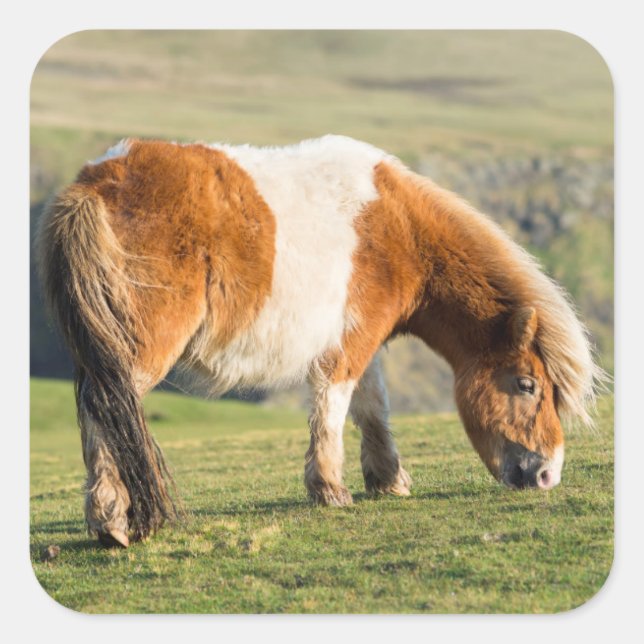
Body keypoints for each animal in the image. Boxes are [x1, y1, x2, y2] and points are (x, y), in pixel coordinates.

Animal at [36, 134, 602, 548]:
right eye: (528, 385)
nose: (547, 474)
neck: (398, 228)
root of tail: (94, 184)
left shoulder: (366, 340)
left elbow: (373, 408)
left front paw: (388, 480)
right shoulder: (350, 343)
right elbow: (333, 406)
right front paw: (331, 489)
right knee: (107, 407)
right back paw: (111, 521)